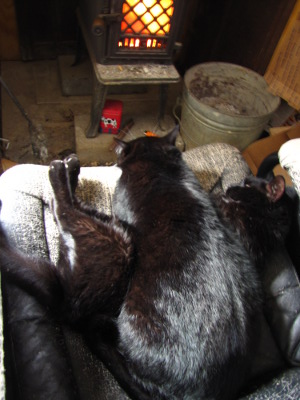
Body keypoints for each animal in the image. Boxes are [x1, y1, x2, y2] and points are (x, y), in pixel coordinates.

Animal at [0, 129, 292, 400]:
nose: (231, 187)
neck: (159, 164)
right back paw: (70, 169)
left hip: (119, 245)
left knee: (66, 214)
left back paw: (60, 171)